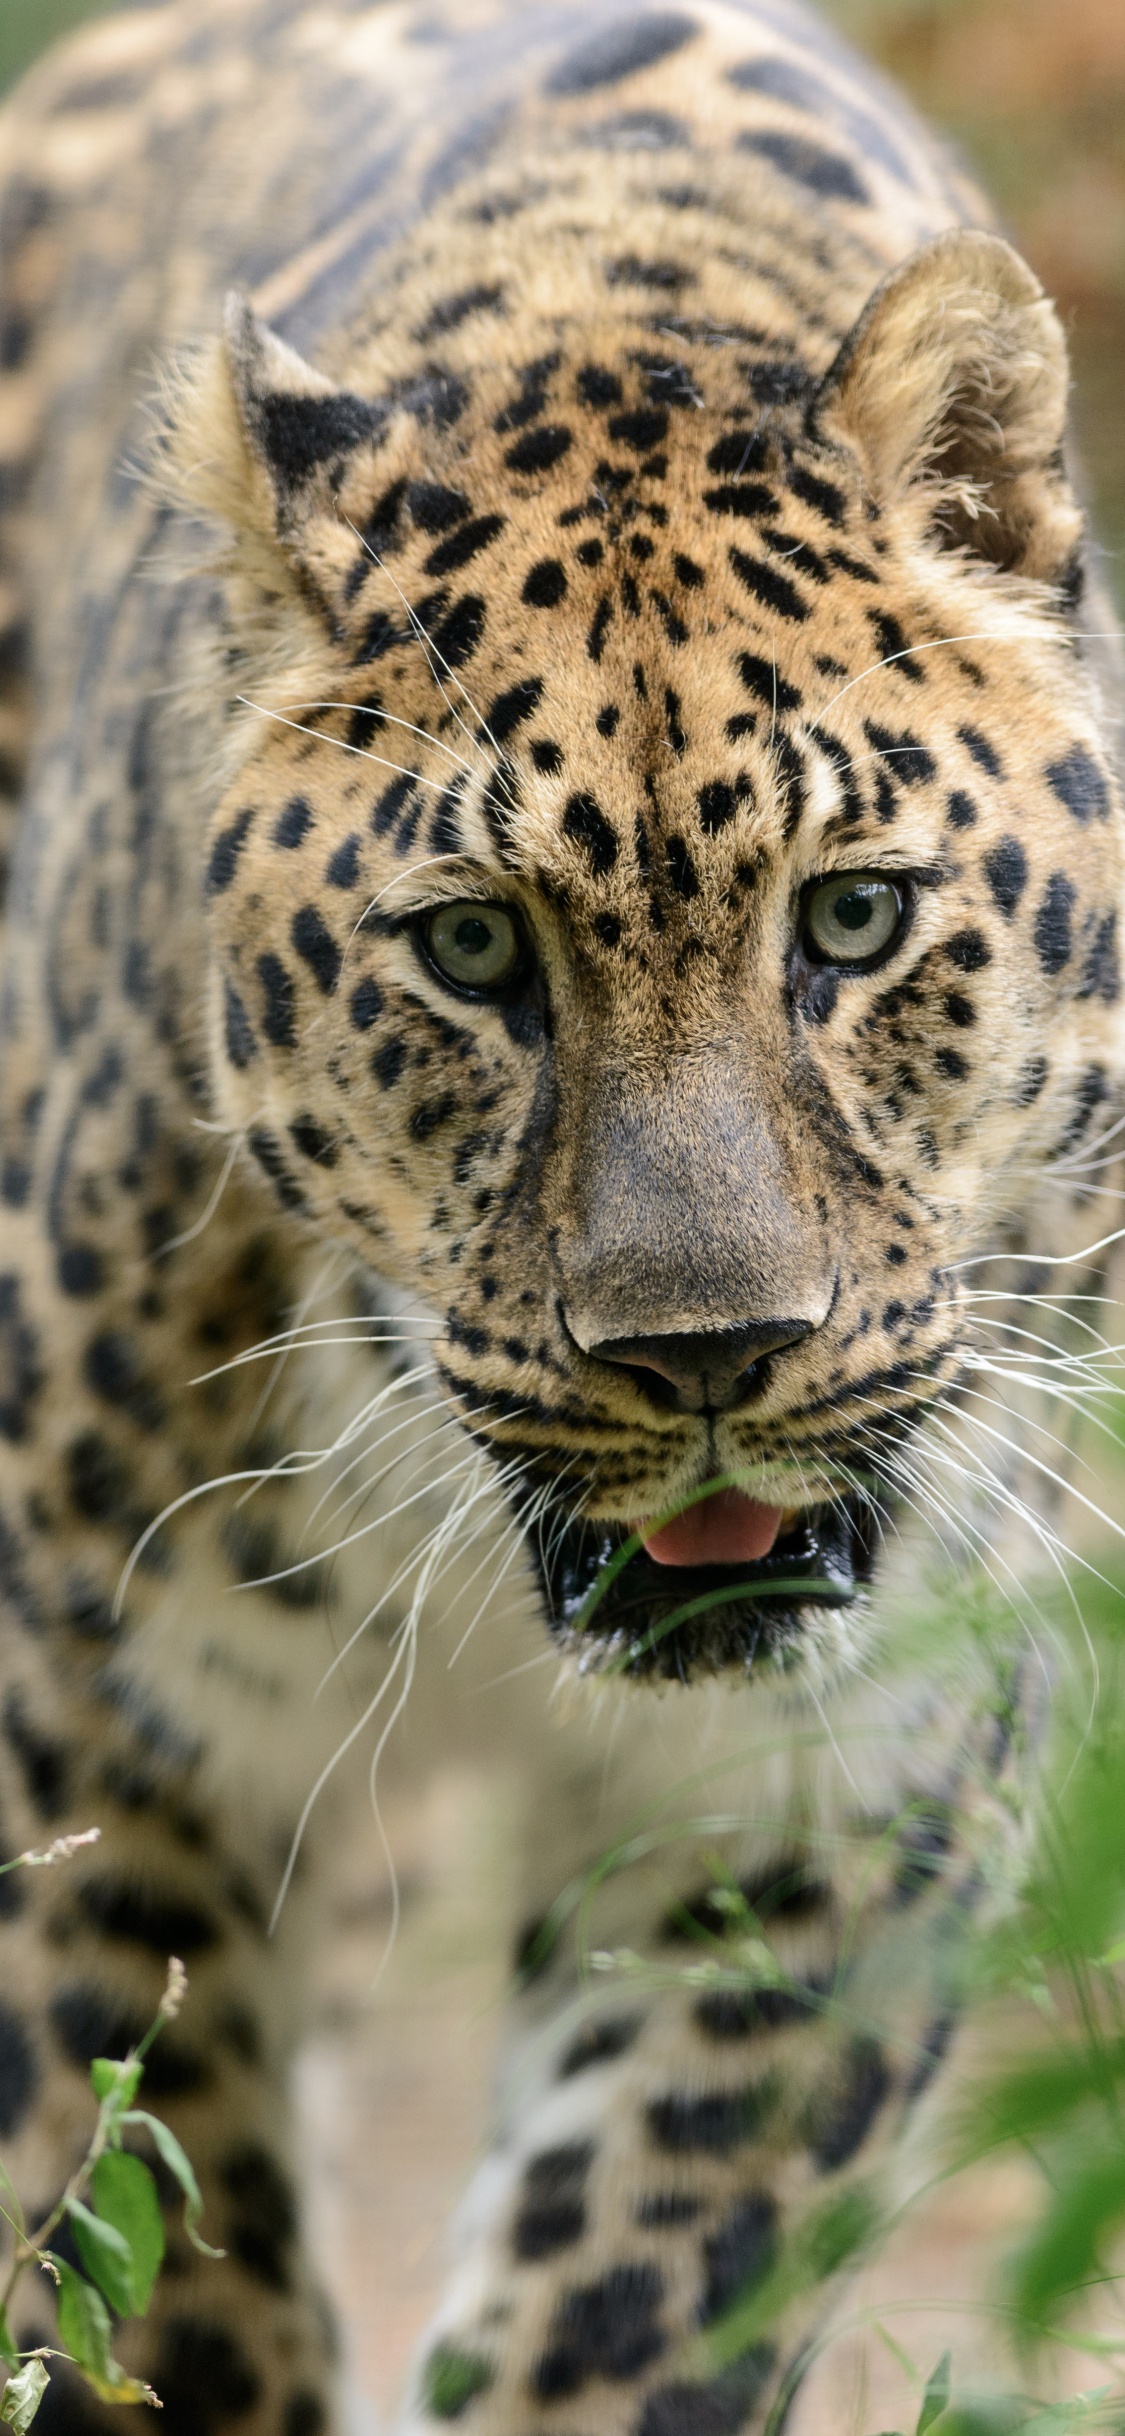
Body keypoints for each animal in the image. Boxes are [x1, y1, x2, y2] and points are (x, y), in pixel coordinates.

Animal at [0, 0, 1120, 2426]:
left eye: (853, 917)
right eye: (472, 951)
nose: (709, 1358)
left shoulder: (846, 1792)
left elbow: (644, 2292)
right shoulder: (75, 1719)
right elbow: (137, 2253)